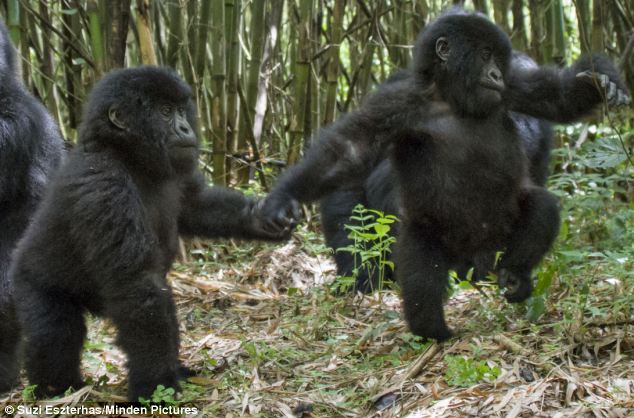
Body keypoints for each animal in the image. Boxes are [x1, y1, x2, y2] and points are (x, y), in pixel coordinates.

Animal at [10, 66, 292, 402]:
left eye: (181, 110)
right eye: (165, 111)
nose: (185, 127)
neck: (126, 154)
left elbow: (197, 206)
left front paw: (262, 218)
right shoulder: (104, 185)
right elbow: (137, 283)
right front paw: (155, 385)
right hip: (26, 281)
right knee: (54, 330)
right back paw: (56, 389)